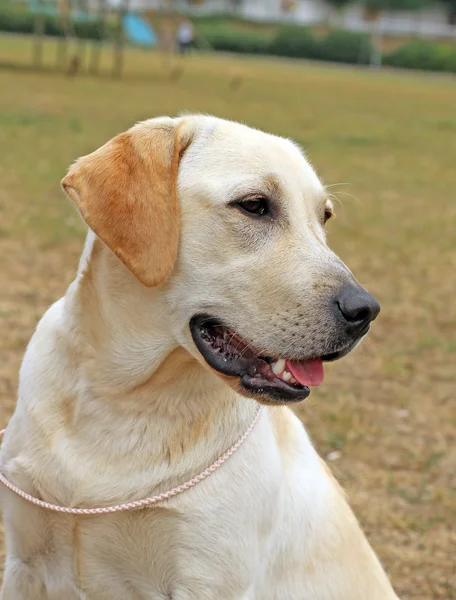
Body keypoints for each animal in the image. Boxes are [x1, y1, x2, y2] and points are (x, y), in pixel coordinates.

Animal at [0, 115, 400, 596]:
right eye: (254, 205)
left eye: (324, 216)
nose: (366, 311)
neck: (121, 397)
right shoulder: (23, 562)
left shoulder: (208, 581)